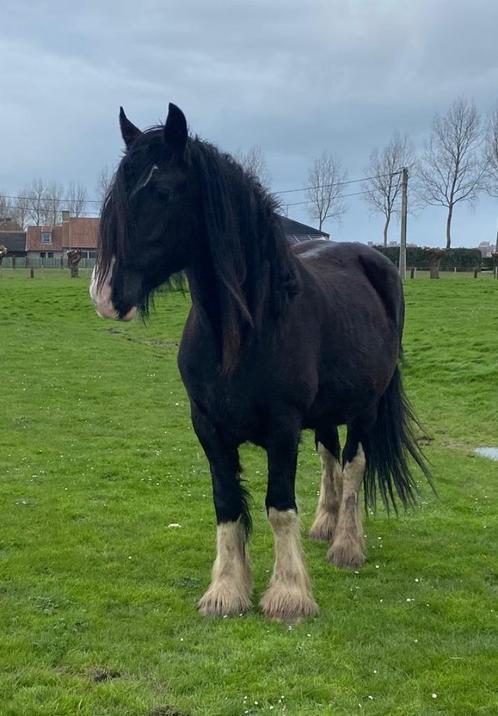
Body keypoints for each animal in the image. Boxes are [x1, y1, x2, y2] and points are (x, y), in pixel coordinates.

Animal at [89, 102, 428, 620]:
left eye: (162, 191)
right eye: (116, 194)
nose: (105, 295)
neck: (242, 330)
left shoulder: (283, 428)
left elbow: (279, 506)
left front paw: (288, 595)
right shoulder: (207, 426)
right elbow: (227, 504)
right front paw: (226, 591)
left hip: (365, 408)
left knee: (353, 465)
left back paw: (346, 545)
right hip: (325, 411)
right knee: (329, 456)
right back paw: (324, 526)